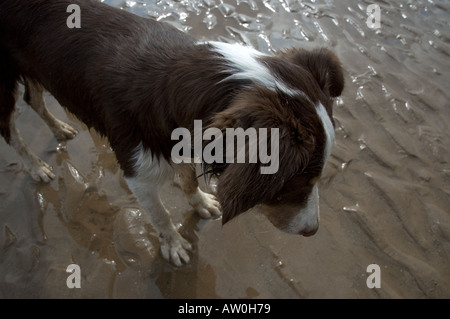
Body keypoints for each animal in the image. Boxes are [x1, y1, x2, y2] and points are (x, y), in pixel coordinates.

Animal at [0, 0, 344, 266]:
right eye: (296, 183)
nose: (313, 230)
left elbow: (189, 177)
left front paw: (201, 201)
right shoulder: (136, 169)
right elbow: (161, 213)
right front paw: (174, 244)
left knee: (34, 99)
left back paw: (59, 127)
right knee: (11, 130)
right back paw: (35, 166)